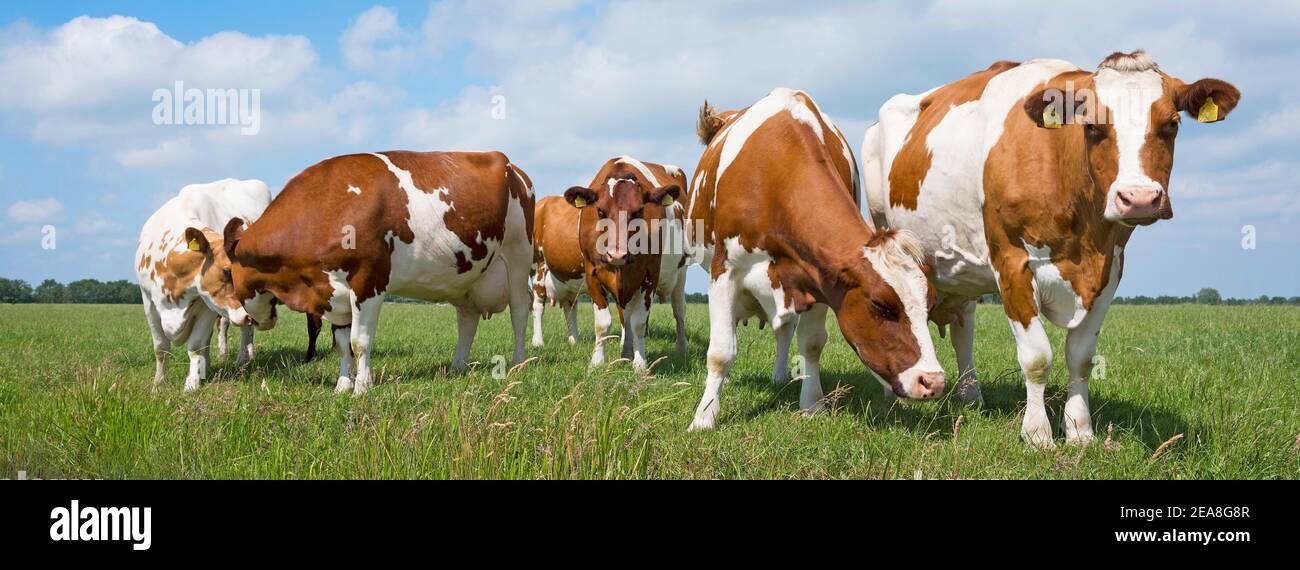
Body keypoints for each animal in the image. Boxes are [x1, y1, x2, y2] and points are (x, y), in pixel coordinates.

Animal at [210, 149, 535, 393]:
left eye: (228, 275)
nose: (252, 320)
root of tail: (511, 165)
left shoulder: (369, 282)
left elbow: (359, 341)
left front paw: (362, 387)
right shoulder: (333, 294)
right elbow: (342, 345)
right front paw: (342, 385)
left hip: (519, 256)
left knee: (519, 312)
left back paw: (518, 362)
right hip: (465, 277)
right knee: (467, 319)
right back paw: (457, 366)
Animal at [564, 156, 696, 372]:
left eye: (639, 210)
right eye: (600, 211)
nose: (617, 254)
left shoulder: (650, 274)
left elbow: (639, 323)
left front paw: (640, 364)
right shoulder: (591, 273)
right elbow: (603, 323)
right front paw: (597, 362)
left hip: (681, 271)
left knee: (679, 311)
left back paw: (682, 348)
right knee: (624, 316)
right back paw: (625, 352)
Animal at [691, 86, 946, 429]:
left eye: (930, 302)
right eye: (881, 305)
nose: (933, 381)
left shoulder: (819, 277)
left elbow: (811, 342)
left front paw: (813, 405)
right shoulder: (725, 270)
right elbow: (720, 350)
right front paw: (705, 417)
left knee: (783, 328)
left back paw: (779, 376)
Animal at [863, 51, 1237, 447]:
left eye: (1172, 124)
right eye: (1092, 127)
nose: (1138, 198)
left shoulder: (1111, 270)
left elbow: (1082, 356)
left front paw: (1079, 430)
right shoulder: (1011, 261)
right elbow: (1037, 357)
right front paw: (1038, 434)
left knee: (965, 323)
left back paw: (970, 396)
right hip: (885, 230)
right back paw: (894, 396)